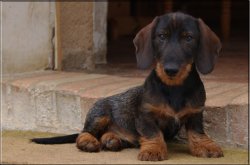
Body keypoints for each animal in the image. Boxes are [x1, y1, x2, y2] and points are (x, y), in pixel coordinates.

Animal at [32, 11, 223, 161]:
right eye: (162, 36)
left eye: (188, 38)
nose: (170, 70)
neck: (174, 88)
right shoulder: (145, 116)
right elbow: (153, 133)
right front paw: (154, 149)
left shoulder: (195, 114)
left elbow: (197, 132)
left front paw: (206, 146)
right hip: (99, 113)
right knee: (84, 132)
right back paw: (89, 142)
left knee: (107, 136)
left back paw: (111, 139)